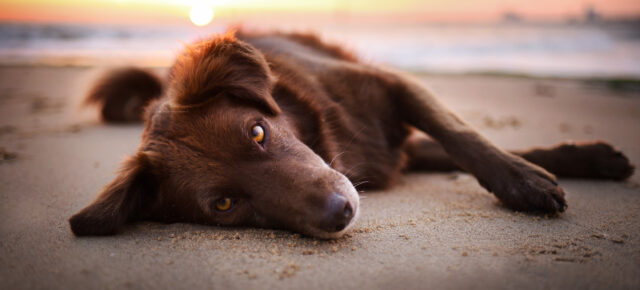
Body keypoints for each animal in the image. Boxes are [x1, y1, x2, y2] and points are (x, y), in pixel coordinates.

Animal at [66, 30, 636, 238]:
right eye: (224, 205)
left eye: (258, 132)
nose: (339, 213)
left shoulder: (394, 86)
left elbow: (462, 136)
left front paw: (525, 183)